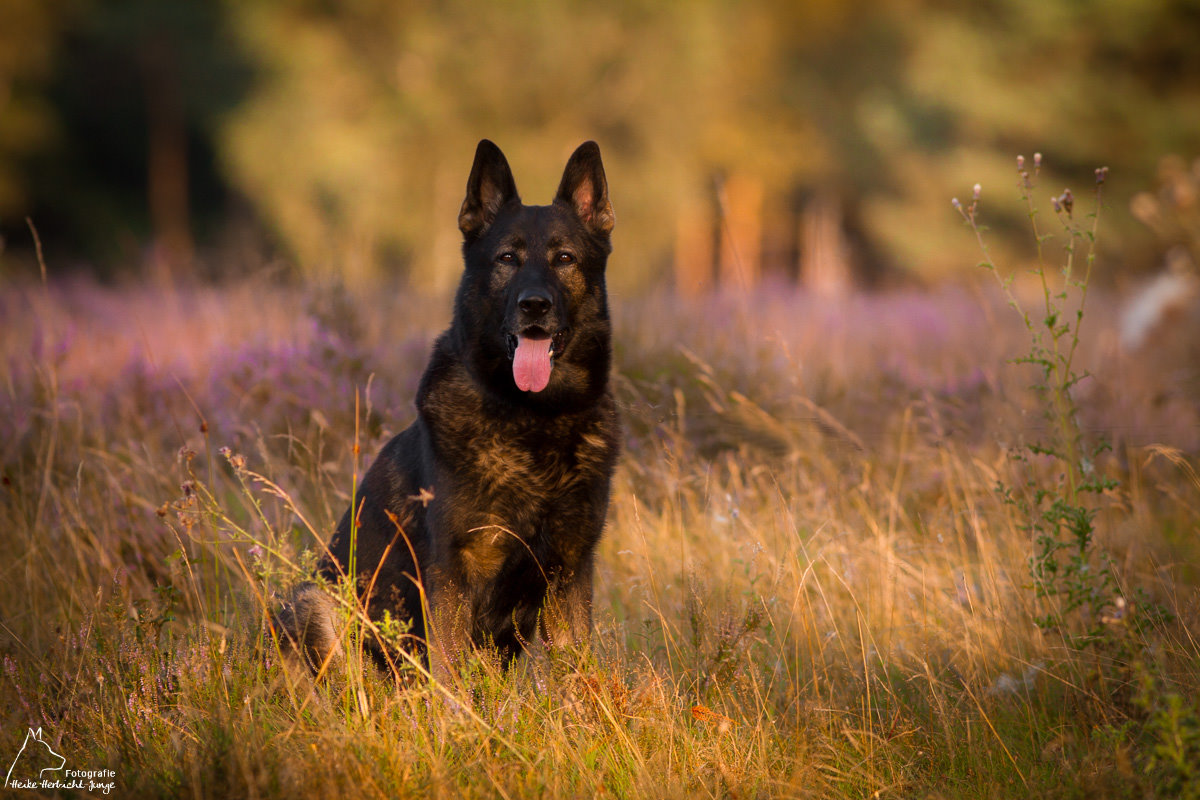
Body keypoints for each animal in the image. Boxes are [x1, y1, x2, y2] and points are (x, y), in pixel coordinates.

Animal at [277, 140, 624, 681]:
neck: (535, 420)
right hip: (314, 600)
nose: (534, 305)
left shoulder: (569, 575)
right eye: (507, 258)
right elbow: (451, 679)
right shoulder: (452, 577)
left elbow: (580, 680)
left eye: (565, 258)